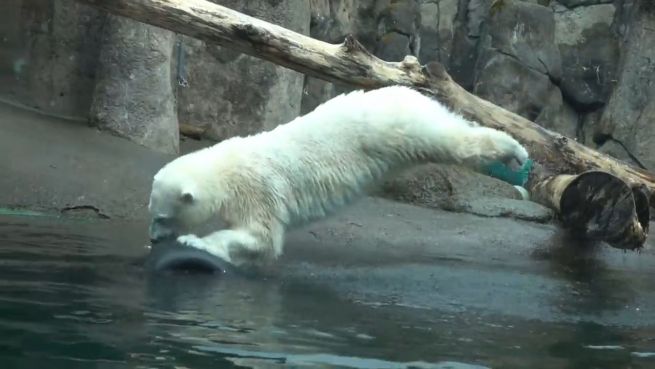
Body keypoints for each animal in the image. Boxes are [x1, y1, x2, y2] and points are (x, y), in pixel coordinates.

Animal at [147, 85, 528, 266]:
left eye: (161, 216)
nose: (153, 238)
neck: (228, 167)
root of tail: (409, 92)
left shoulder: (260, 190)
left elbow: (262, 238)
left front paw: (194, 242)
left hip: (400, 129)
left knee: (457, 142)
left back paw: (517, 153)